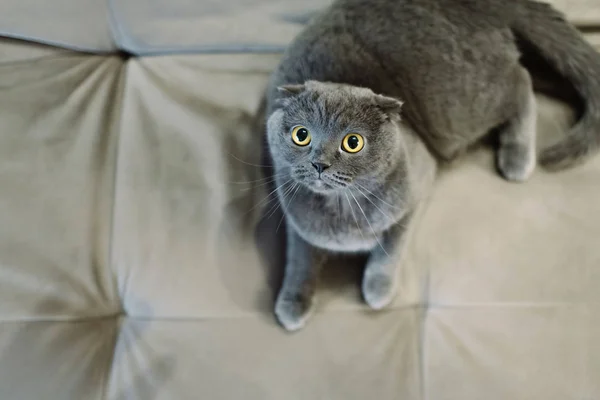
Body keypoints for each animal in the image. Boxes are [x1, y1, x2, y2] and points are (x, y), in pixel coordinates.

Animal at [264, 0, 600, 332]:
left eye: (353, 142)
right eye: (301, 135)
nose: (319, 163)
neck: (342, 207)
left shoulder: (411, 198)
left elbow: (388, 250)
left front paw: (377, 289)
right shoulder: (297, 220)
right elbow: (299, 258)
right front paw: (292, 304)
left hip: (463, 104)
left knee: (522, 82)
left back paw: (517, 158)